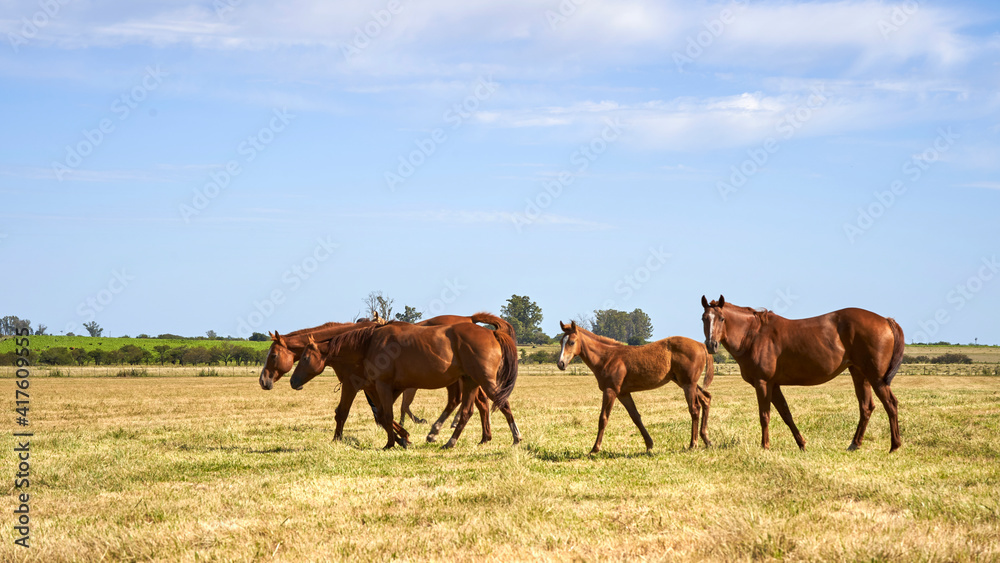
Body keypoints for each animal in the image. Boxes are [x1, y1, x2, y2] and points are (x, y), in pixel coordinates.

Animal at [290, 316, 520, 452]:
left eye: (305, 358)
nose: (293, 381)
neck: (370, 343)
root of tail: (491, 332)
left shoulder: (379, 385)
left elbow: (385, 415)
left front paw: (392, 443)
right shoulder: (380, 388)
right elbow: (383, 415)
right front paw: (402, 438)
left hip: (485, 381)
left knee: (503, 404)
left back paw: (516, 437)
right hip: (470, 382)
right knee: (467, 411)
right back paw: (451, 441)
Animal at [560, 322, 716, 454]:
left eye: (571, 342)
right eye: (561, 342)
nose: (560, 364)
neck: (607, 357)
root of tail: (701, 345)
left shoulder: (610, 391)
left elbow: (603, 418)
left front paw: (594, 449)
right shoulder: (623, 393)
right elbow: (636, 417)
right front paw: (649, 444)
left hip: (688, 384)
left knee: (694, 409)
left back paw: (693, 444)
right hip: (684, 382)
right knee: (706, 399)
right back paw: (707, 440)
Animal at [704, 296, 908, 454]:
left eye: (722, 318)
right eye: (704, 318)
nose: (711, 345)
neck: (754, 335)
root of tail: (885, 320)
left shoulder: (762, 383)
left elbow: (764, 415)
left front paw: (765, 446)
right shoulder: (774, 385)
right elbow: (786, 414)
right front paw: (801, 444)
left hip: (877, 378)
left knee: (890, 404)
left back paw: (894, 446)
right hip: (859, 374)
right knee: (866, 407)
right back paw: (854, 444)